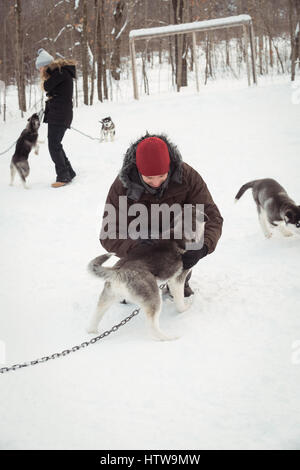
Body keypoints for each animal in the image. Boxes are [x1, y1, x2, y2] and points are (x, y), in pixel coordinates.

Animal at [88, 209, 207, 342]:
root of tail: (119, 272)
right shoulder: (178, 279)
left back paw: (92, 334)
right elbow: (180, 303)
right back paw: (169, 337)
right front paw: (186, 307)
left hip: (107, 298)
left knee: (94, 318)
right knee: (152, 327)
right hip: (153, 298)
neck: (182, 228)